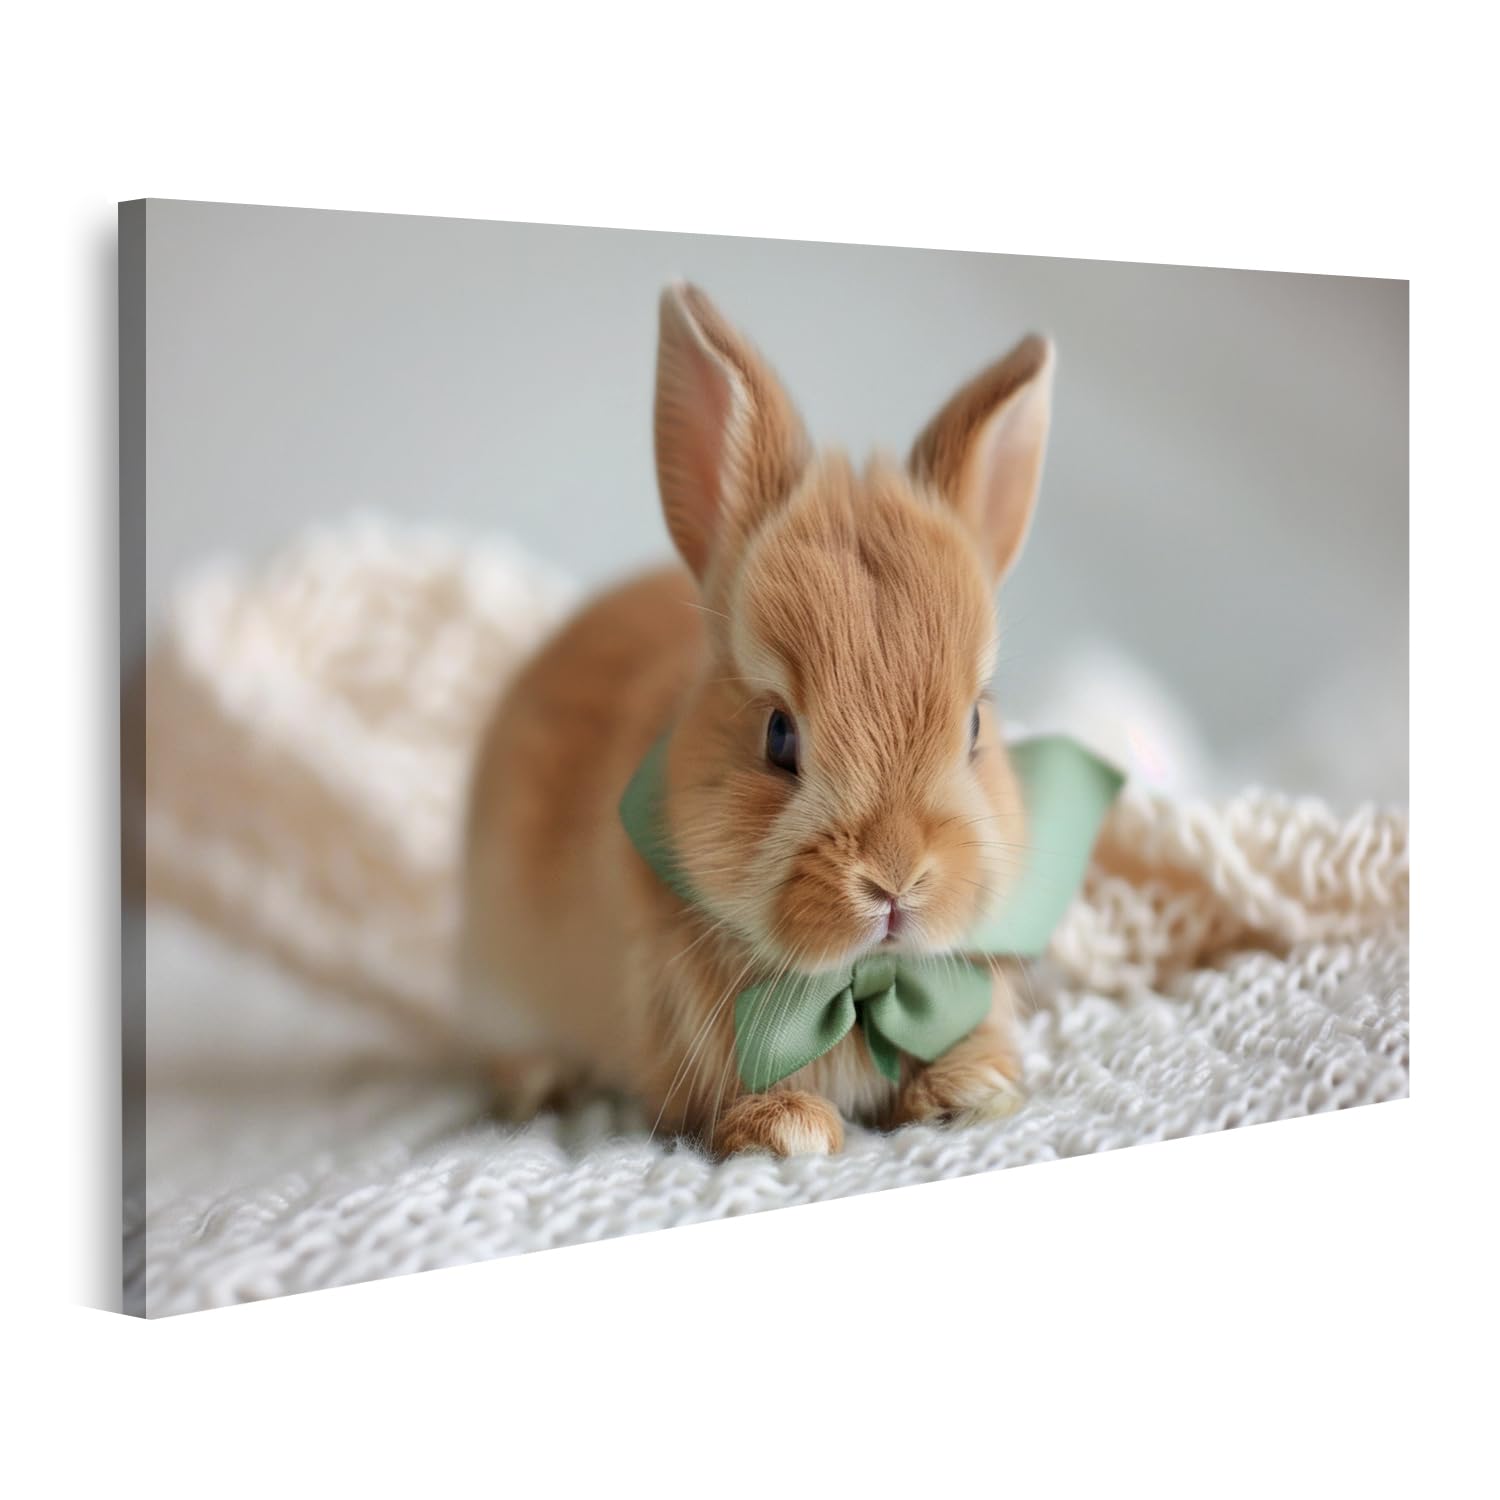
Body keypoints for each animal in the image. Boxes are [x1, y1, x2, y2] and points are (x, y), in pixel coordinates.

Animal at [460, 282, 1056, 1157]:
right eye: (778, 735)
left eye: (976, 728)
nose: (896, 877)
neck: (861, 981)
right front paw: (789, 1130)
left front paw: (970, 1091)